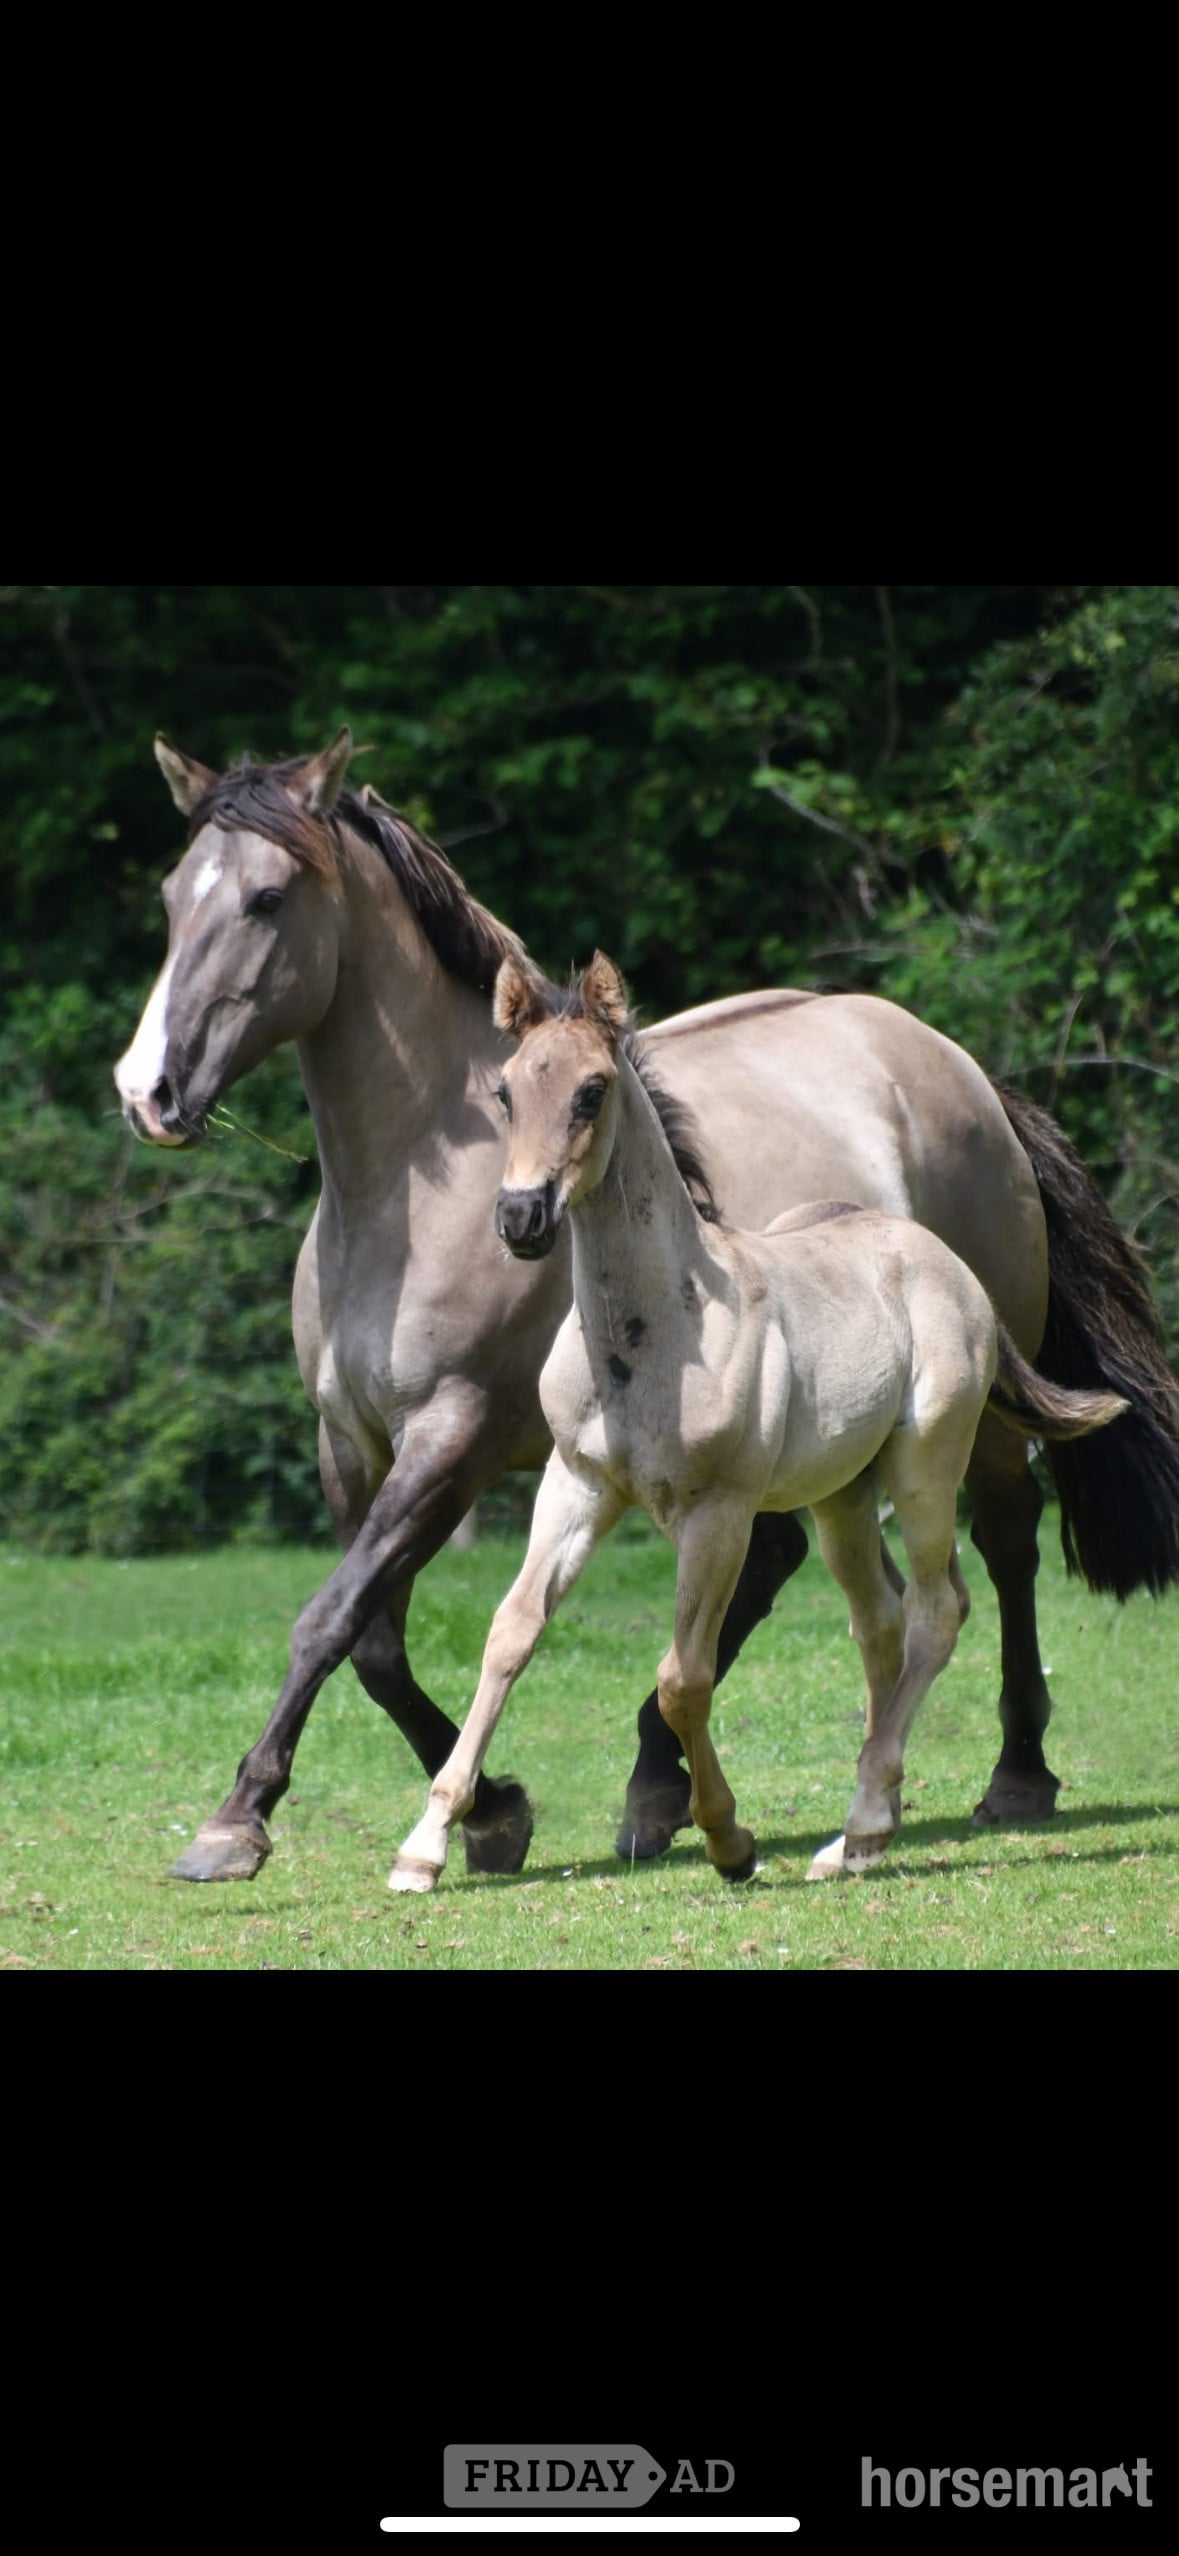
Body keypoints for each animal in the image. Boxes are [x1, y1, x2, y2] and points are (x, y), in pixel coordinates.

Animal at [388, 955, 1127, 1890]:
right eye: (507, 1091)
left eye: (592, 1090)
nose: (520, 1218)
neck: (653, 1339)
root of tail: (947, 1264)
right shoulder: (577, 1484)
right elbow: (509, 1635)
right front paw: (424, 1844)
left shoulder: (720, 1513)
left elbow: (682, 1677)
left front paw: (726, 1840)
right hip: (843, 1496)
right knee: (879, 1621)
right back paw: (862, 1836)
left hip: (926, 1465)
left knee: (938, 1609)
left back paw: (865, 1820)